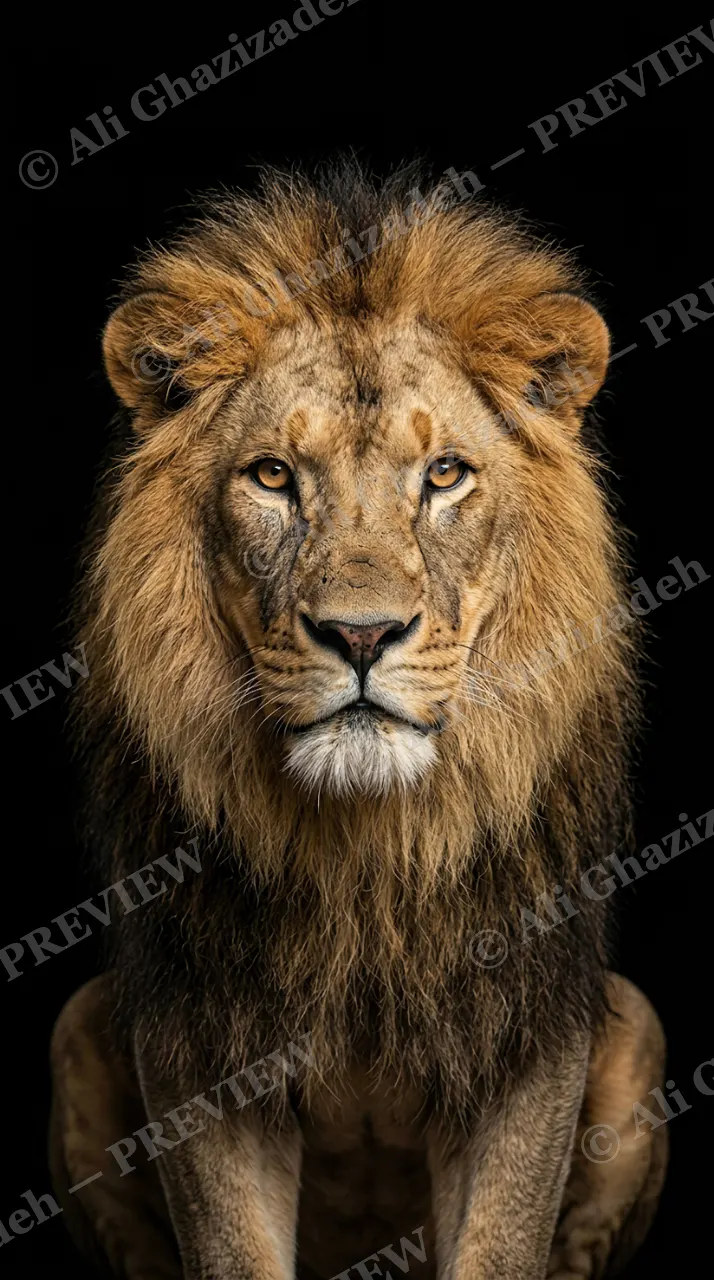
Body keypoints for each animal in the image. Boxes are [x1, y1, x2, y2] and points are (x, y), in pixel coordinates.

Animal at [49, 162, 667, 1279]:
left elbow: (501, 1246)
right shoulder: (201, 1045)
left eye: (445, 474)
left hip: (637, 1028)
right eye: (273, 475)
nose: (363, 634)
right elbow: (232, 1252)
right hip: (76, 1031)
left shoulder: (526, 1042)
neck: (370, 854)